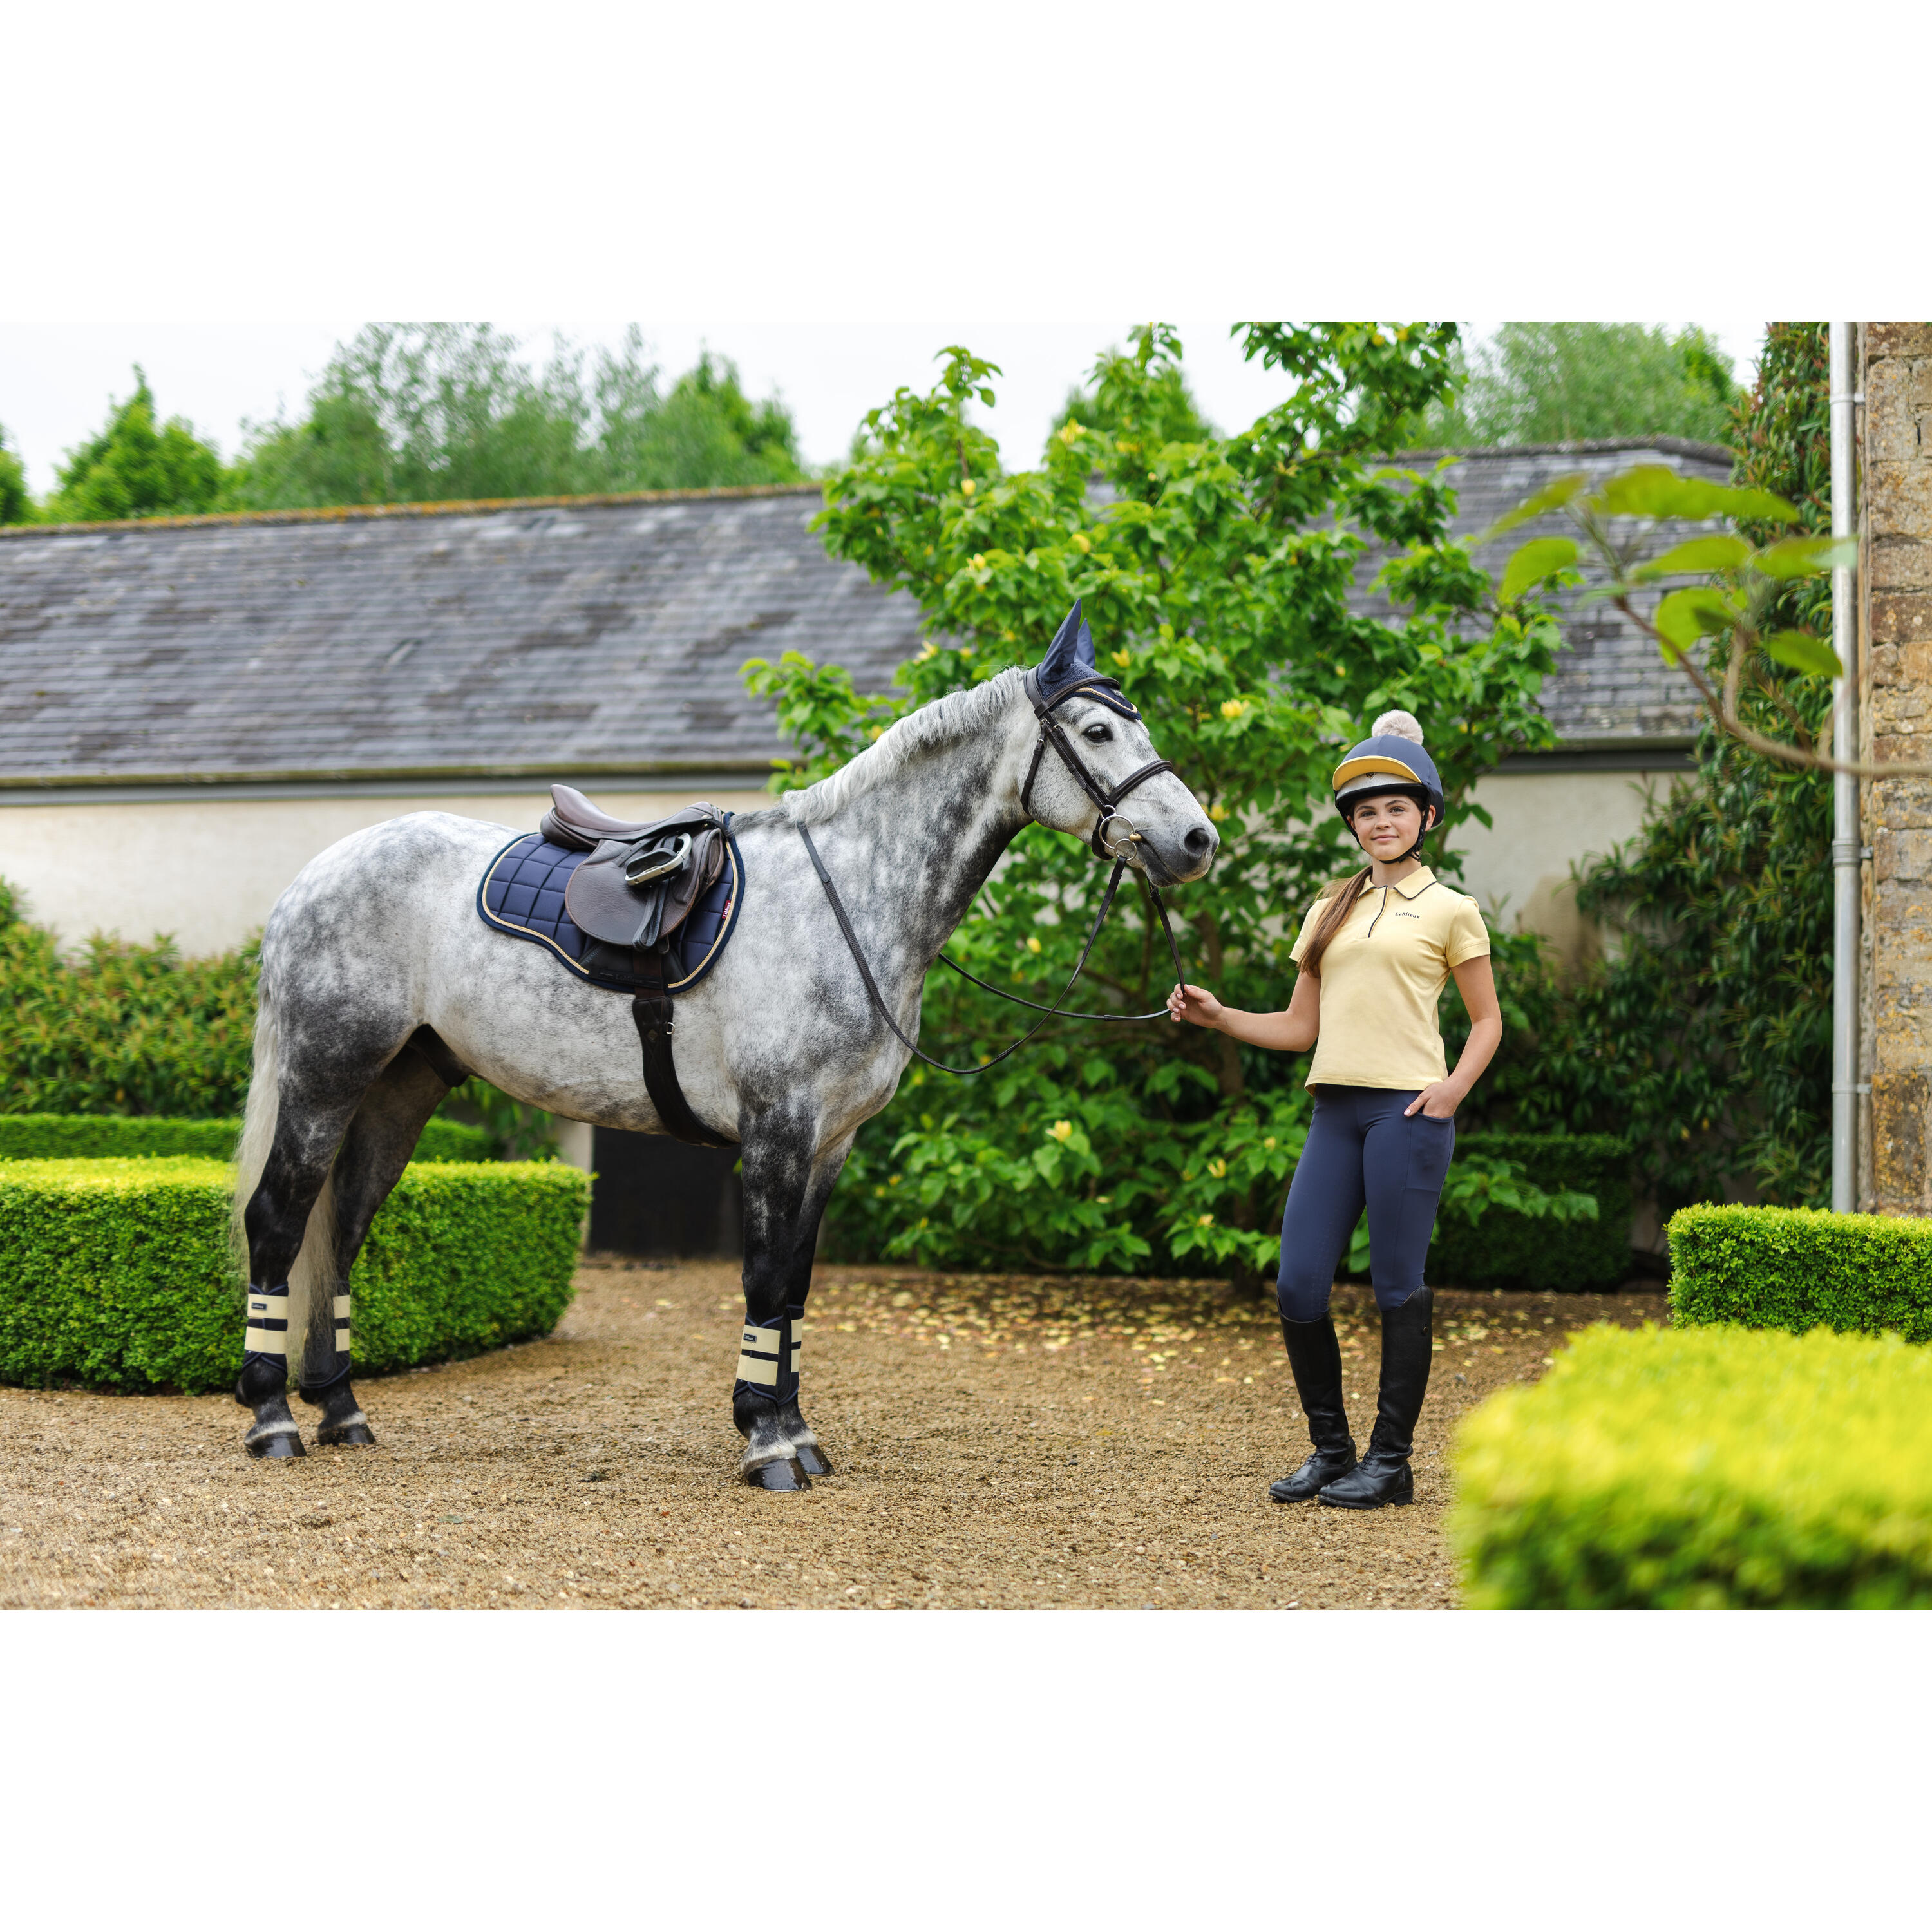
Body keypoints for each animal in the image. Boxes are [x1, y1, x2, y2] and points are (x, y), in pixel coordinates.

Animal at [231, 608, 1217, 1488]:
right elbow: (764, 1281)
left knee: (341, 1229)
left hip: (402, 1088)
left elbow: (797, 1288)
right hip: (325, 1078)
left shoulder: (832, 1143)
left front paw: (798, 1433)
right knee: (278, 1220)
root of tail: (313, 878)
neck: (847, 895)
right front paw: (768, 1444)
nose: (1197, 840)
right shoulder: (778, 1130)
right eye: (1098, 729)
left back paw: (342, 1410)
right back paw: (273, 1420)